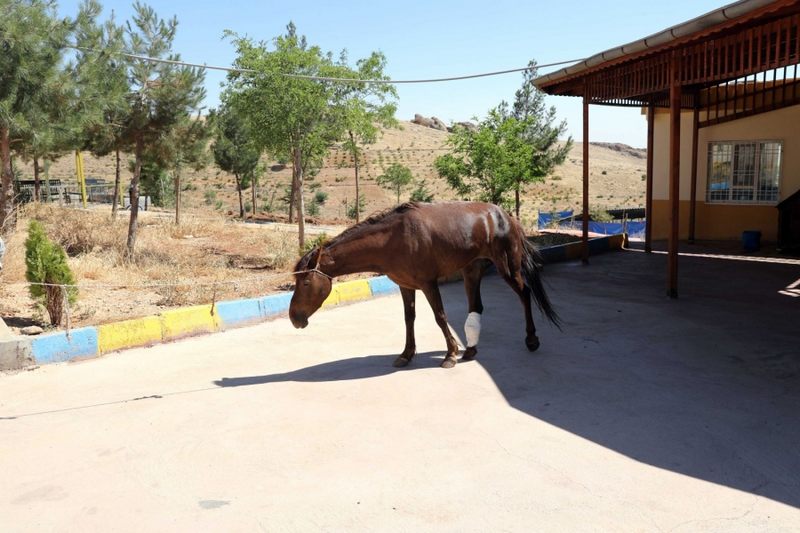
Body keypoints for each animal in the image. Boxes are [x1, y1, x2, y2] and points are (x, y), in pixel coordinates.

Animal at [290, 200, 560, 366]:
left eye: (306, 282)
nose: (295, 318)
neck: (393, 239)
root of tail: (506, 216)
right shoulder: (406, 285)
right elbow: (409, 319)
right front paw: (406, 354)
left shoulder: (429, 284)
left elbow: (440, 316)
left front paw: (450, 354)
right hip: (471, 270)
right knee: (476, 306)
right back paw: (471, 350)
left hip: (508, 268)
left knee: (524, 294)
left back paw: (531, 340)